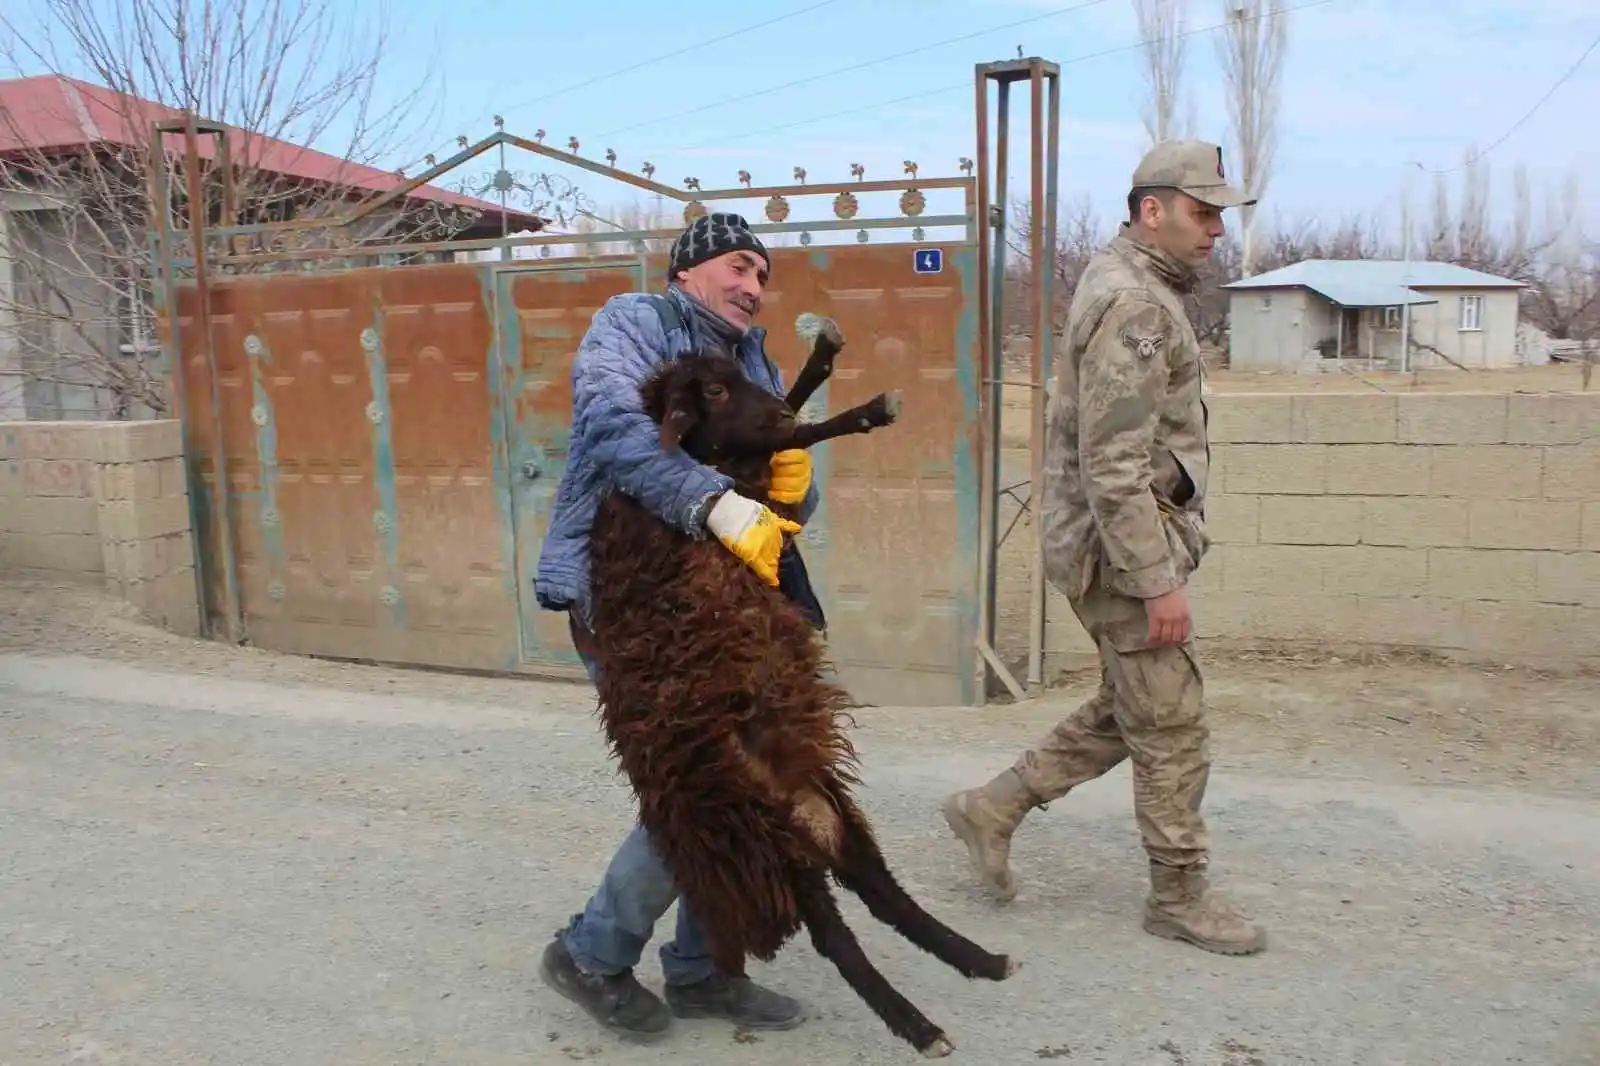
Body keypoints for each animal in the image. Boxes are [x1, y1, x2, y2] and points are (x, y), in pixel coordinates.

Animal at [582, 316, 1017, 1056]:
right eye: (712, 390)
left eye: (734, 373)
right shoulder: (731, 485)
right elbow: (787, 438)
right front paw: (860, 407)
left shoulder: (751, 479)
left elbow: (784, 427)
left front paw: (825, 369)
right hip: (770, 848)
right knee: (837, 938)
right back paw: (920, 1026)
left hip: (834, 817)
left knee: (886, 897)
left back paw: (980, 961)